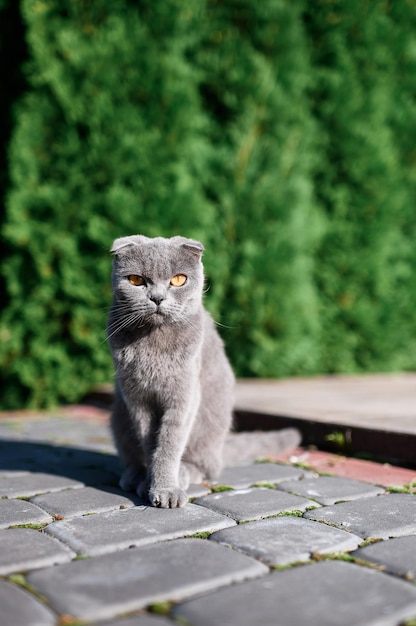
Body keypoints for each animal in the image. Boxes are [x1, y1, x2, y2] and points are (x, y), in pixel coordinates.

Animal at [108, 234, 300, 508]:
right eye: (136, 280)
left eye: (178, 280)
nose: (157, 298)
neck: (154, 343)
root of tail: (219, 450)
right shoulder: (136, 398)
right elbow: (149, 442)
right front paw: (148, 483)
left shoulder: (185, 394)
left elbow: (169, 443)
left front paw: (166, 489)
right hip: (119, 417)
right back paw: (133, 476)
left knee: (205, 466)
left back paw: (183, 473)